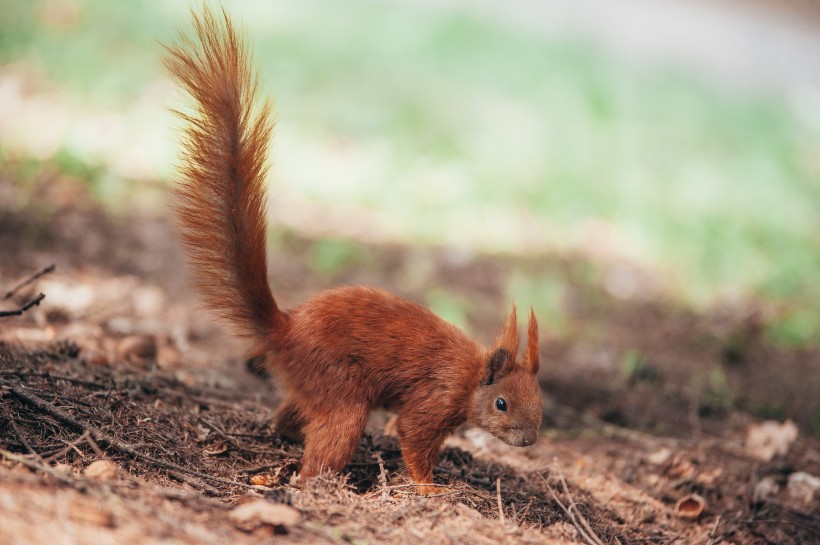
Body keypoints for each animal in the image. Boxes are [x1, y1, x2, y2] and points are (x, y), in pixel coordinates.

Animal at [163, 7, 540, 492]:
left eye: (539, 398)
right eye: (501, 403)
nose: (529, 440)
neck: (473, 374)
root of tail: (285, 331)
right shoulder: (437, 396)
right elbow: (413, 436)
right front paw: (429, 488)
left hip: (314, 388)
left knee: (291, 417)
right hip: (340, 390)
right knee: (326, 442)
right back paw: (317, 483)